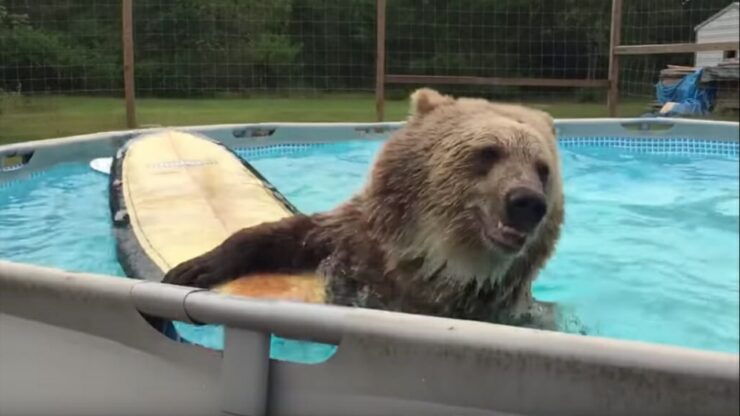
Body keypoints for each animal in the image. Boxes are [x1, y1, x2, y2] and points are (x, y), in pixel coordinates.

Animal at [165, 89, 564, 330]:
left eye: (542, 168)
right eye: (488, 152)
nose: (527, 202)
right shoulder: (357, 241)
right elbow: (288, 235)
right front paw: (192, 268)